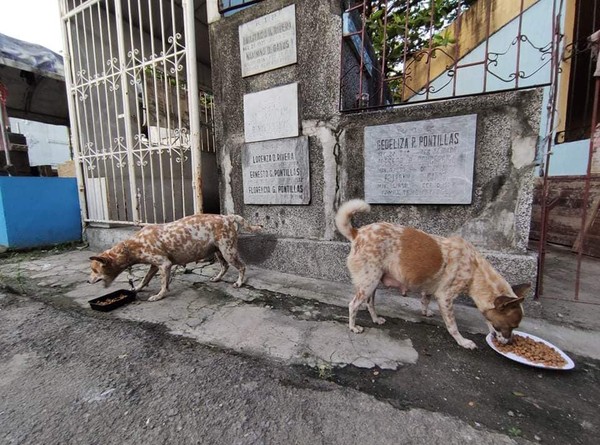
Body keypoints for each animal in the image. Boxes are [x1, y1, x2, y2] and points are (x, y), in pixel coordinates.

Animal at [88, 213, 262, 300]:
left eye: (95, 270)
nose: (88, 281)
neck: (131, 247)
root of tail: (228, 217)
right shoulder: (154, 266)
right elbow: (145, 279)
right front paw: (136, 288)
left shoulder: (164, 264)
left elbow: (162, 284)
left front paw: (159, 296)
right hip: (218, 251)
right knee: (224, 266)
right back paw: (217, 278)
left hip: (228, 251)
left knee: (242, 266)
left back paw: (239, 283)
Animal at [338, 199, 528, 348]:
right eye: (511, 326)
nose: (511, 343)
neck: (475, 270)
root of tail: (358, 233)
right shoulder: (445, 298)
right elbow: (452, 325)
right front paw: (463, 341)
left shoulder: (430, 288)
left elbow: (425, 299)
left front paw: (425, 311)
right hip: (369, 282)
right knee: (353, 305)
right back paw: (353, 327)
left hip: (373, 282)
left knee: (369, 303)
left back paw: (376, 319)